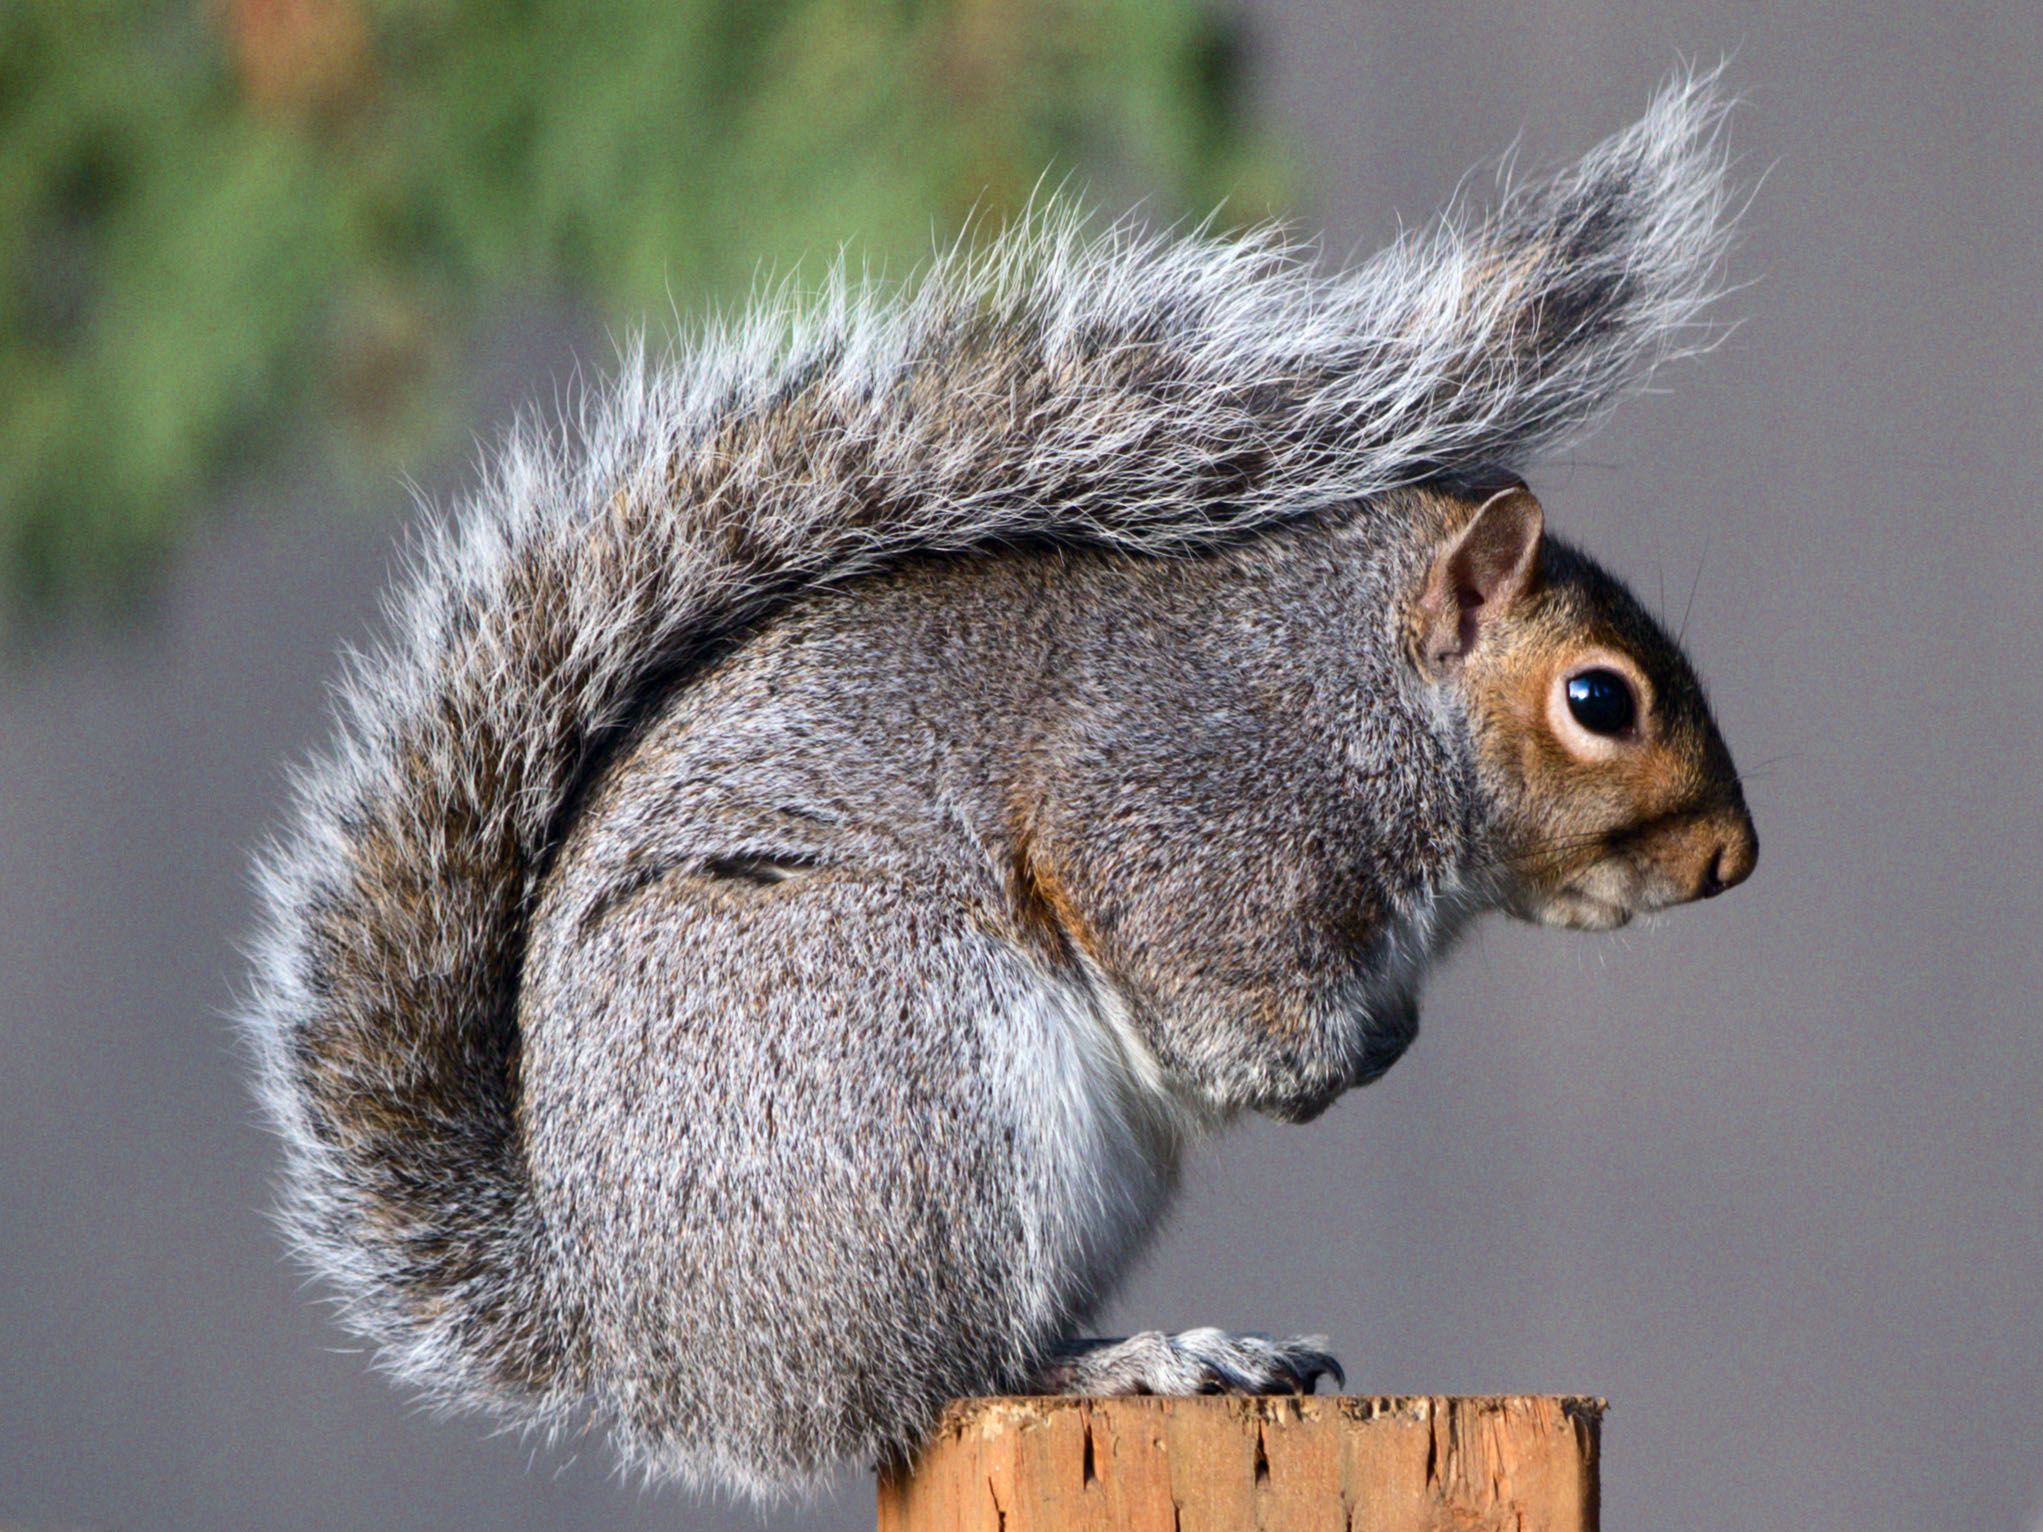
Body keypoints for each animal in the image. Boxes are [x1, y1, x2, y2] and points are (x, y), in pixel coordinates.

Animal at [245, 73, 1756, 1502]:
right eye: (1598, 701)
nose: (1732, 860)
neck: (1368, 685)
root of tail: (639, 1342)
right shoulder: (1194, 806)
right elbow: (1214, 1000)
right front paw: (1347, 1050)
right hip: (908, 1077)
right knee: (948, 1370)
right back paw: (1153, 1360)